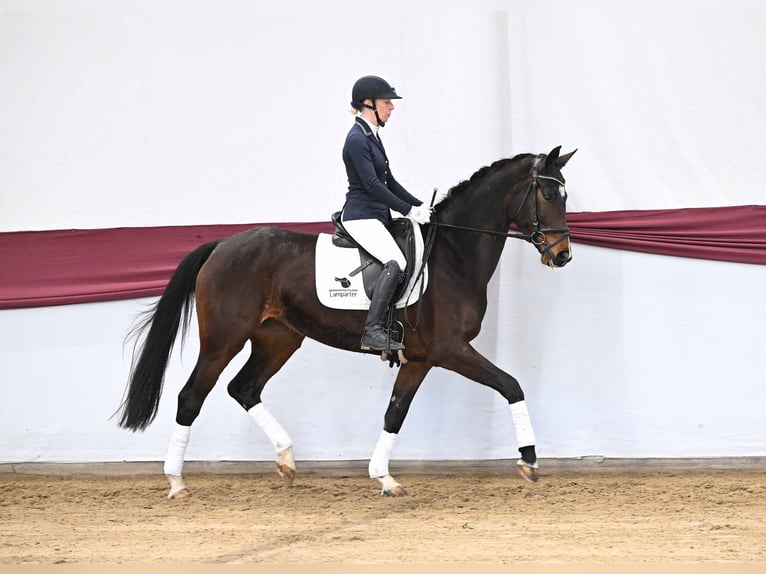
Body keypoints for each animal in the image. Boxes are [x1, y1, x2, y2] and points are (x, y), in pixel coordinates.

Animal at [117, 146, 576, 498]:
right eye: (548, 194)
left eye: (564, 195)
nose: (562, 255)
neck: (452, 255)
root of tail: (221, 245)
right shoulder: (450, 350)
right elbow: (511, 385)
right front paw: (530, 460)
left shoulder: (420, 358)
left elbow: (395, 413)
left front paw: (384, 478)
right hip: (222, 339)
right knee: (191, 397)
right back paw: (177, 483)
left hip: (278, 339)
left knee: (243, 388)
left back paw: (287, 460)